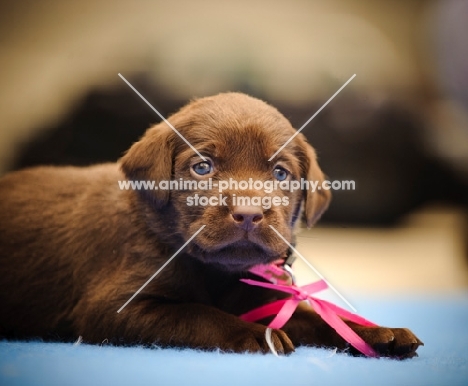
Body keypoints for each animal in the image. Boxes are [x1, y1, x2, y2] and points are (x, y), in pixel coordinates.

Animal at [0, 92, 422, 356]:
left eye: (281, 173)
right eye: (202, 167)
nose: (249, 213)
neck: (217, 272)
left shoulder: (260, 296)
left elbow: (314, 317)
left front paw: (376, 333)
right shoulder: (114, 307)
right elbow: (196, 313)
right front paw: (254, 334)